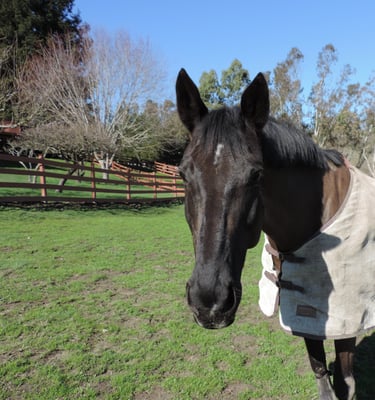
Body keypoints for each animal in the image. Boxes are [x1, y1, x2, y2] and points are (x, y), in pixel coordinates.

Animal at [176, 69, 375, 400]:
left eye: (256, 174)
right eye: (183, 174)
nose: (210, 302)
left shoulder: (347, 319)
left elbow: (346, 383)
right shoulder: (307, 314)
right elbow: (320, 371)